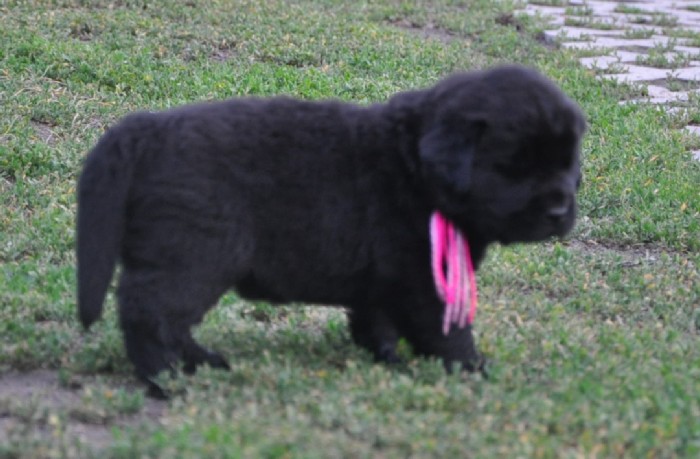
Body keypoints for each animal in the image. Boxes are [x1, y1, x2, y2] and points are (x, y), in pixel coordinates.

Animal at [77, 65, 585, 397]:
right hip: (196, 254)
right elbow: (446, 331)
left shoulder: (384, 278)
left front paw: (386, 357)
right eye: (513, 167)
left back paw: (204, 363)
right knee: (150, 312)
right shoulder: (422, 278)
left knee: (167, 317)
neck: (415, 168)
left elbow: (375, 319)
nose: (560, 209)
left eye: (567, 162)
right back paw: (165, 379)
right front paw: (473, 369)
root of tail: (149, 129)